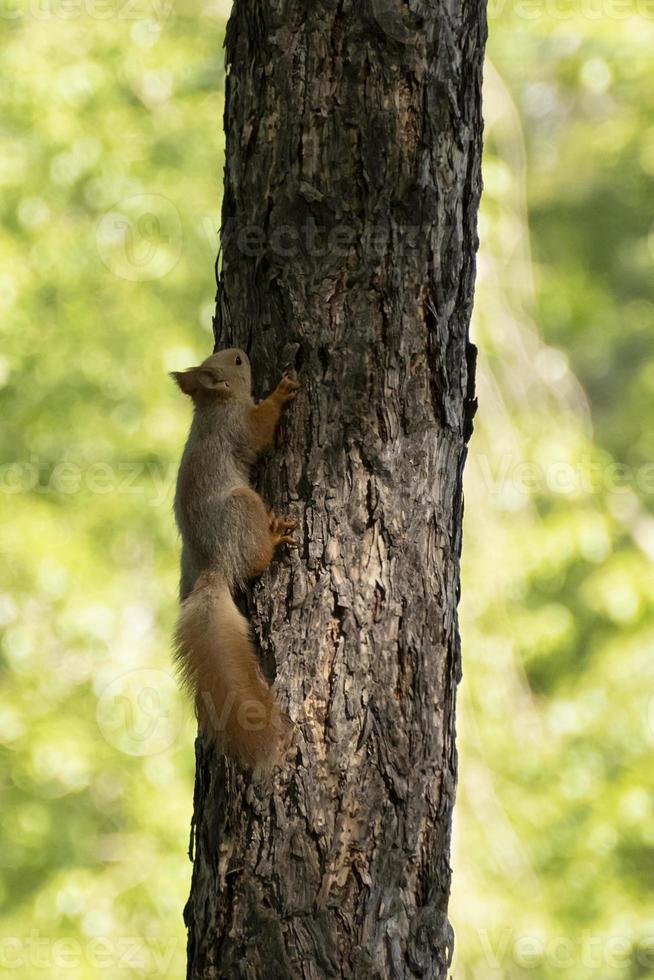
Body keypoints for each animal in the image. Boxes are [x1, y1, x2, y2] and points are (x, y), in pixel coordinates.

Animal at [170, 348, 302, 768]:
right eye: (238, 362)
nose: (243, 350)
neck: (214, 405)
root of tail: (216, 564)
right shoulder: (238, 427)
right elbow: (260, 428)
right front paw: (281, 391)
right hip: (244, 506)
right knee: (256, 559)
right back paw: (274, 537)